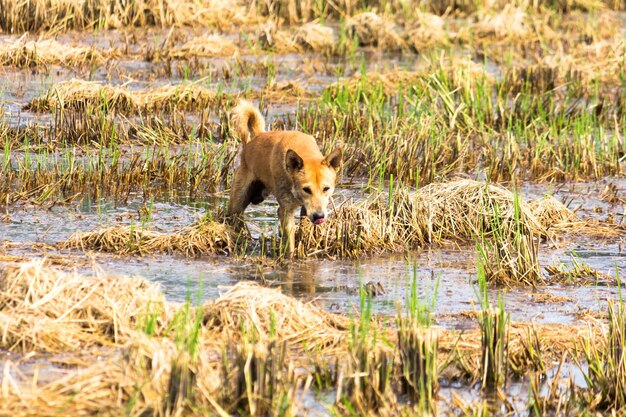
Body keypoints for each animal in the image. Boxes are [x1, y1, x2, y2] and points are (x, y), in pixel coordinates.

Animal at [227, 101, 342, 256]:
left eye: (326, 189)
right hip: (238, 201)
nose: (319, 216)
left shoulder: (305, 210)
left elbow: (303, 230)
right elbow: (290, 243)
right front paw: (291, 257)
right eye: (306, 189)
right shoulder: (287, 210)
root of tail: (258, 136)